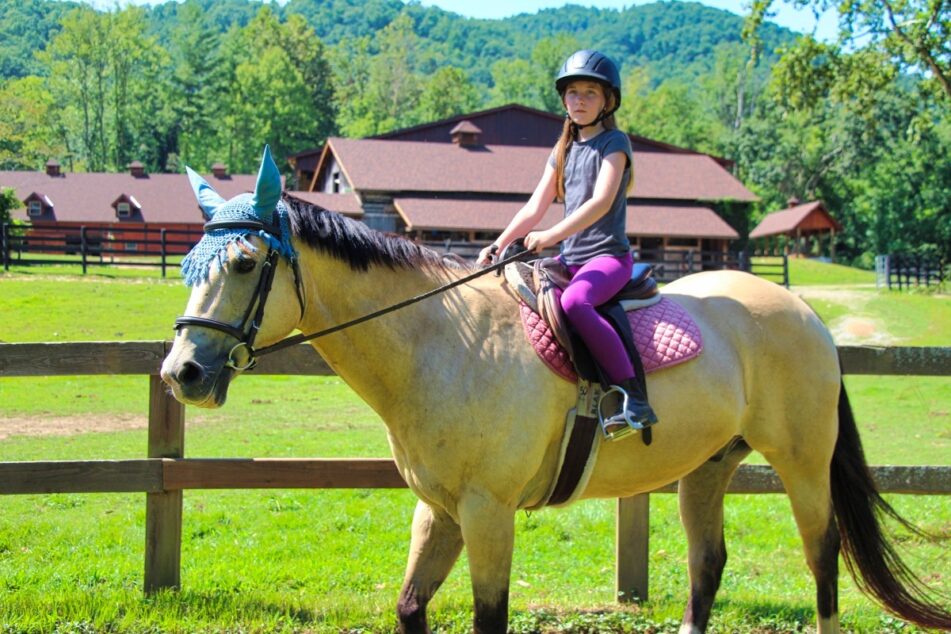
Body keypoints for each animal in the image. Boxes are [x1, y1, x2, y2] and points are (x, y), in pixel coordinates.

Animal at [160, 148, 948, 632]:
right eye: (190, 262)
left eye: (244, 261)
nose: (182, 375)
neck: (442, 344)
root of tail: (802, 312)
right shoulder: (438, 510)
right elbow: (411, 606)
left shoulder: (487, 513)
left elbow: (489, 616)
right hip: (707, 468)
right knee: (708, 564)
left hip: (802, 464)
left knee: (822, 559)